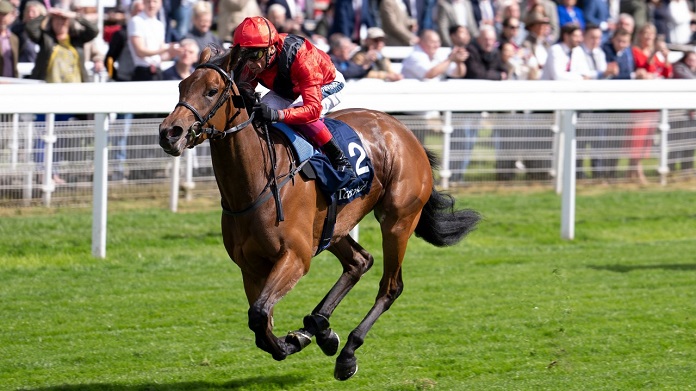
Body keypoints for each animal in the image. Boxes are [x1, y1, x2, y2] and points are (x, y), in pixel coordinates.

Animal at [160, 45, 482, 380]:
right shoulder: (250, 267)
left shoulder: (295, 257)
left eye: (211, 91)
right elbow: (261, 323)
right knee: (359, 262)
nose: (170, 132)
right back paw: (320, 327)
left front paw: (293, 342)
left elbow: (259, 315)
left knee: (390, 287)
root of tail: (404, 132)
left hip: (397, 221)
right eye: (181, 86)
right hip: (333, 227)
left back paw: (347, 352)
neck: (257, 183)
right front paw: (302, 337)